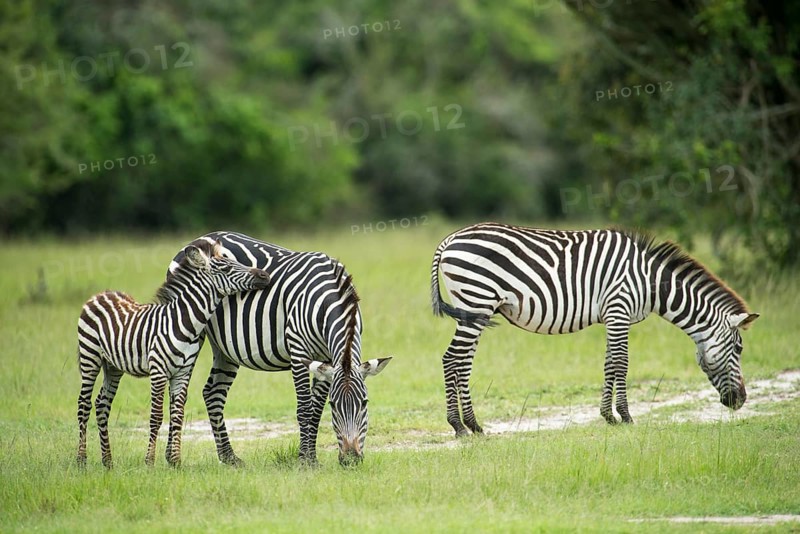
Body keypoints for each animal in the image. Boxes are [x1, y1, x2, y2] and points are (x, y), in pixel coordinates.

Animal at [76, 239, 271, 468]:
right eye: (226, 268)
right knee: (84, 404)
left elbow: (178, 414)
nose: (265, 275)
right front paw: (150, 462)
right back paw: (81, 460)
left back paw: (108, 461)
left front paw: (176, 461)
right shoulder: (158, 371)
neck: (184, 322)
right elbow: (156, 416)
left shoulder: (182, 372)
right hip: (90, 357)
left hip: (113, 366)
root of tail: (100, 294)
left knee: (102, 404)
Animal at [168, 232, 391, 466]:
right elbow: (305, 408)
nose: (350, 460)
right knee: (179, 393)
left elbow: (315, 410)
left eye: (365, 403)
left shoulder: (326, 359)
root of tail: (202, 238)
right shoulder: (299, 350)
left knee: (213, 393)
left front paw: (312, 458)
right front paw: (304, 460)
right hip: (190, 329)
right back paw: (174, 458)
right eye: (334, 405)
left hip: (225, 349)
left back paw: (229, 457)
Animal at [430, 222, 759, 436]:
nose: (740, 401)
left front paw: (608, 417)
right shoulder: (619, 309)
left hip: (473, 310)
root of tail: (449, 239)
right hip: (476, 301)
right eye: (739, 348)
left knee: (462, 362)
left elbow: (609, 363)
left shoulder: (614, 316)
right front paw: (625, 416)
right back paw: (459, 426)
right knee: (451, 359)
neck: (651, 283)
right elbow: (621, 363)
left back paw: (473, 425)